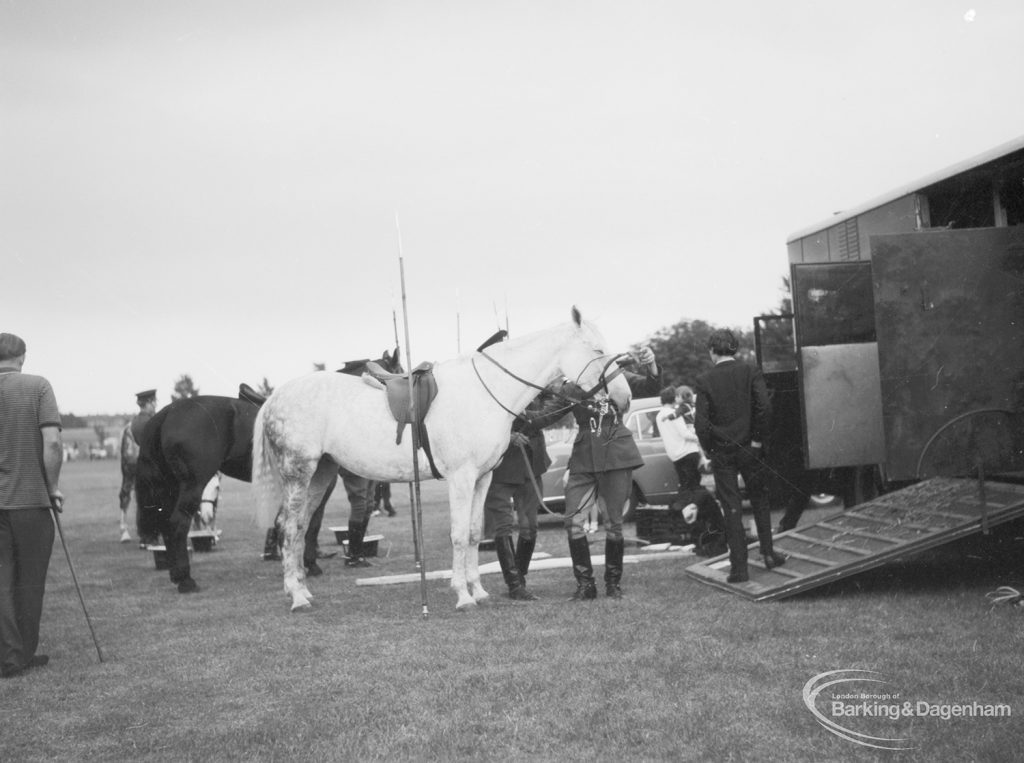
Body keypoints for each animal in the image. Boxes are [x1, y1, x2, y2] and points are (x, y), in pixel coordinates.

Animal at [138, 348, 401, 594]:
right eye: (396, 370)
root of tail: (168, 412)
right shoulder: (319, 486)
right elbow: (311, 524)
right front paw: (309, 565)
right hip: (193, 485)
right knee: (177, 524)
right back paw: (186, 580)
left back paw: (176, 574)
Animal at [251, 307, 630, 610]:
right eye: (597, 349)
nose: (623, 398)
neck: (485, 391)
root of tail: (274, 398)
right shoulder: (461, 478)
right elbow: (459, 535)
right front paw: (462, 596)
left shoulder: (482, 479)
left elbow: (475, 533)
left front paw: (478, 591)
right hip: (299, 473)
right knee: (288, 527)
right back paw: (296, 597)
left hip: (321, 474)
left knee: (301, 527)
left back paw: (303, 590)